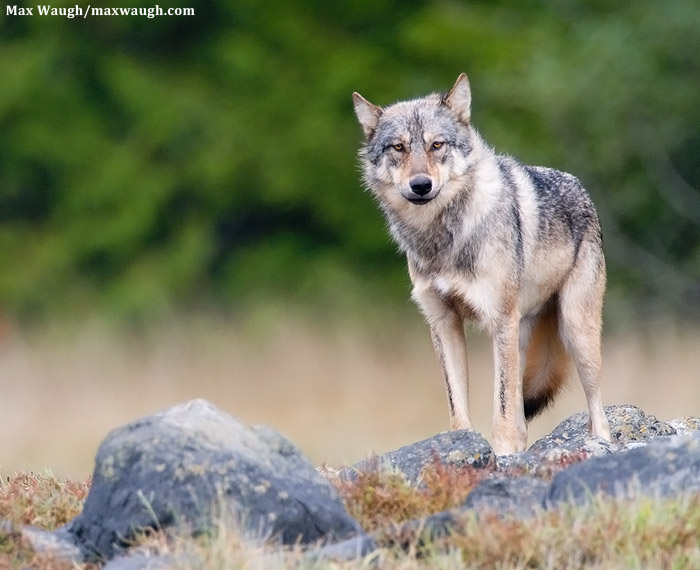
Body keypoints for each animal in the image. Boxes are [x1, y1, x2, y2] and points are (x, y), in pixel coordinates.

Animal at [352, 74, 612, 455]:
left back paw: (599, 442)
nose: (421, 185)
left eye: (437, 145)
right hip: (523, 336)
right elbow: (457, 404)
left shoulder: (498, 321)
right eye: (398, 147)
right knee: (522, 417)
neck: (442, 238)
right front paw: (462, 447)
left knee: (597, 409)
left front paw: (501, 454)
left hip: (576, 331)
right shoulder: (443, 324)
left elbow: (500, 407)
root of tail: (581, 187)